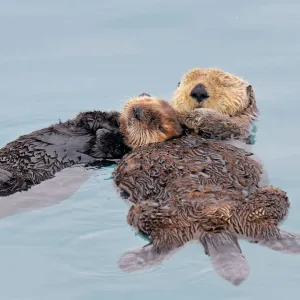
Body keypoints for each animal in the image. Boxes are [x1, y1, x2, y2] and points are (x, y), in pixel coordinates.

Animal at [113, 95, 300, 286]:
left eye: (158, 124)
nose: (136, 111)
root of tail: (216, 227)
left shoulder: (228, 134)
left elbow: (229, 127)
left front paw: (190, 115)